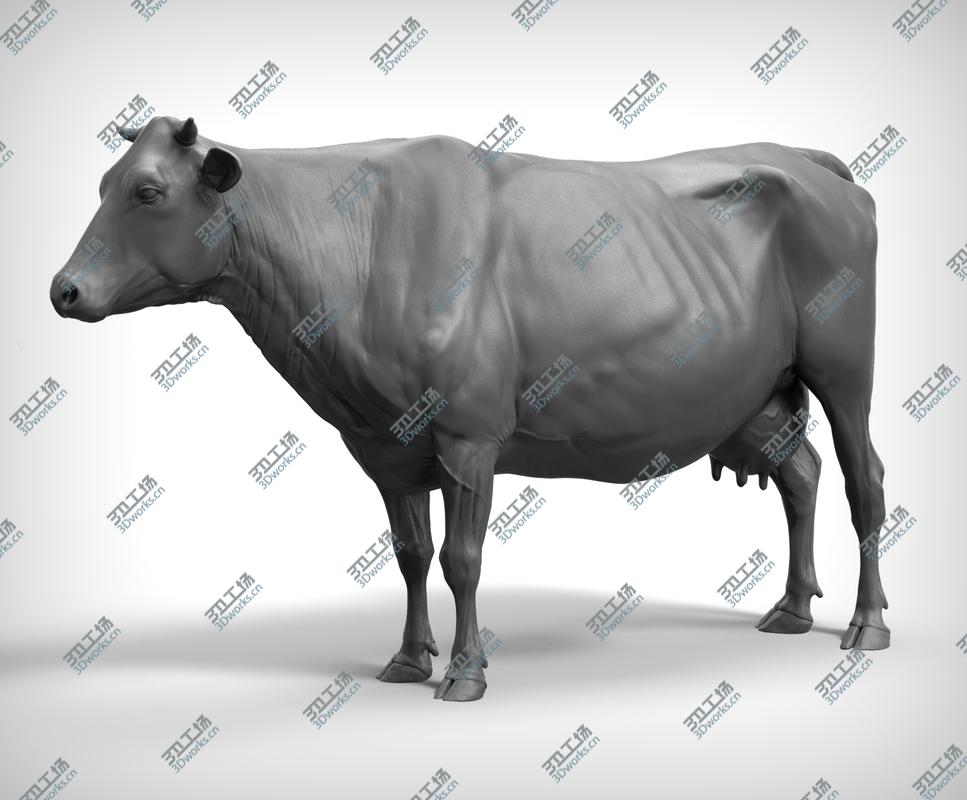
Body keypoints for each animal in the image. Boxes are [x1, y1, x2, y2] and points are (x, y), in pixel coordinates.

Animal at [51, 116, 888, 702]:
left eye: (149, 192)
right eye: (100, 185)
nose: (64, 289)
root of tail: (810, 160)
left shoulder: (467, 436)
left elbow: (461, 558)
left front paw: (464, 672)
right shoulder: (384, 445)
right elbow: (411, 554)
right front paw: (404, 659)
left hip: (844, 367)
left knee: (863, 482)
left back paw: (865, 625)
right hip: (756, 394)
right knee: (801, 473)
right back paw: (789, 609)